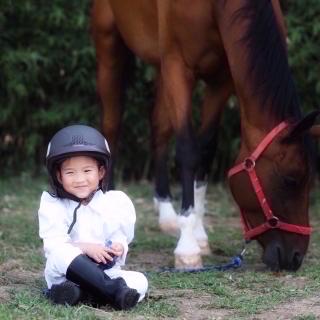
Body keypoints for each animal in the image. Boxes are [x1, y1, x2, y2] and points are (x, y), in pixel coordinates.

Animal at [91, 0, 318, 272]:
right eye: (290, 180)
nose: (295, 257)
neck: (214, 6)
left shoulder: (221, 80)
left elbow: (207, 149)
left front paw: (198, 235)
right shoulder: (178, 68)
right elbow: (188, 151)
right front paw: (187, 248)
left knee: (159, 129)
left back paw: (167, 212)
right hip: (109, 44)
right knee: (111, 126)